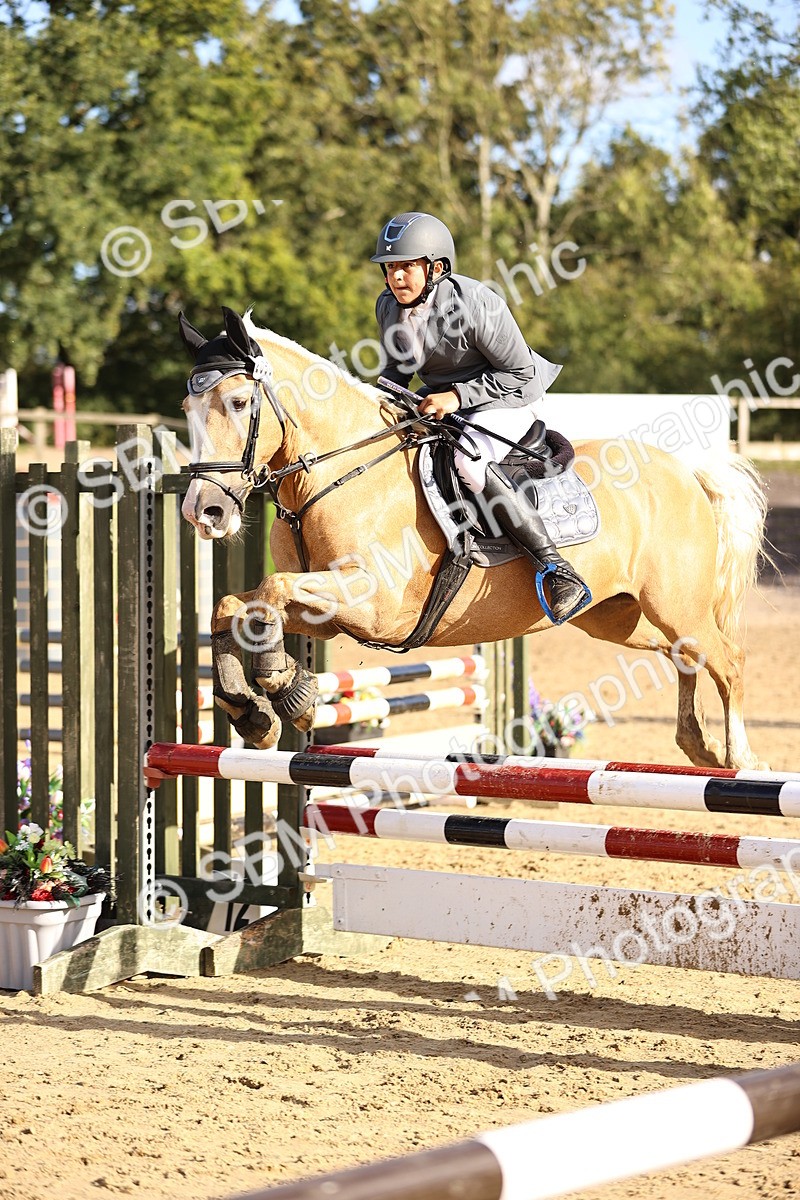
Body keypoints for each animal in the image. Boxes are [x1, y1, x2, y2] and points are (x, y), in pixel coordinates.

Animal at [178, 307, 768, 770]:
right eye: (187, 410)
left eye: (237, 403)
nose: (203, 511)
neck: (337, 474)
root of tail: (686, 471)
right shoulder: (329, 609)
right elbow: (235, 605)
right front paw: (252, 710)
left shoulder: (374, 603)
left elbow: (270, 591)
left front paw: (285, 689)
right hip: (615, 618)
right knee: (684, 654)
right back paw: (699, 745)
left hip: (674, 605)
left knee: (729, 659)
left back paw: (739, 757)